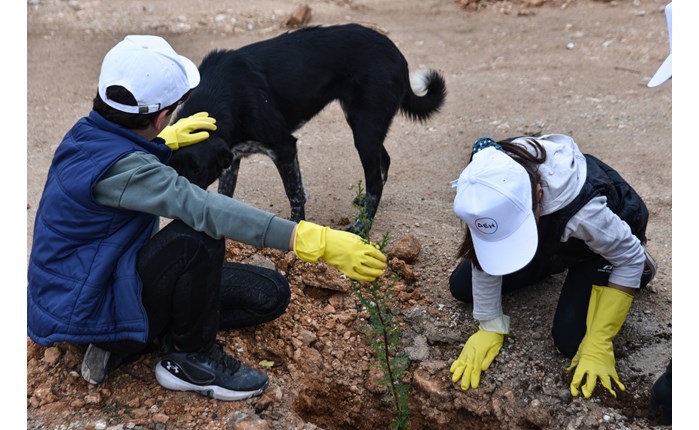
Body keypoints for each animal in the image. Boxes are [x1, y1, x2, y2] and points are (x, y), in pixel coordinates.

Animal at [172, 24, 452, 232]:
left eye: (197, 169)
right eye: (172, 167)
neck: (220, 95)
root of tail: (397, 54)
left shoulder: (284, 146)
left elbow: (295, 192)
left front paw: (297, 225)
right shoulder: (233, 157)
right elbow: (225, 194)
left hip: (365, 129)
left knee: (375, 181)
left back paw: (362, 227)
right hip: (364, 126)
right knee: (384, 161)